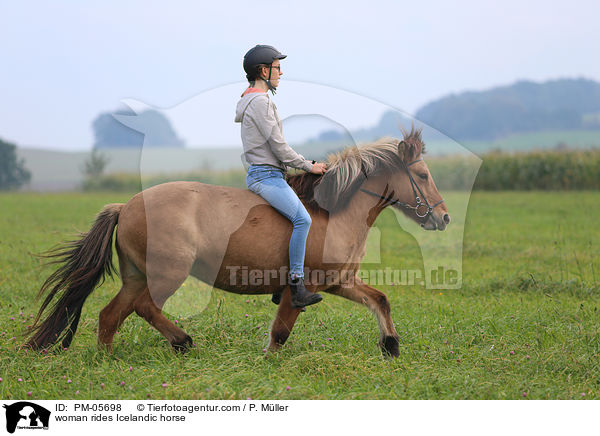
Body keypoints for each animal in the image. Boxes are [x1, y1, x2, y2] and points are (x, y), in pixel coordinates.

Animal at [25, 129, 448, 358]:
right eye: (423, 175)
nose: (443, 217)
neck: (334, 212)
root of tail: (125, 205)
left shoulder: (339, 282)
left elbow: (380, 299)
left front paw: (390, 345)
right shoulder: (303, 288)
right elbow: (280, 332)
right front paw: (267, 361)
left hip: (135, 277)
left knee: (110, 315)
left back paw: (107, 360)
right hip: (167, 274)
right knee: (145, 308)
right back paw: (183, 341)